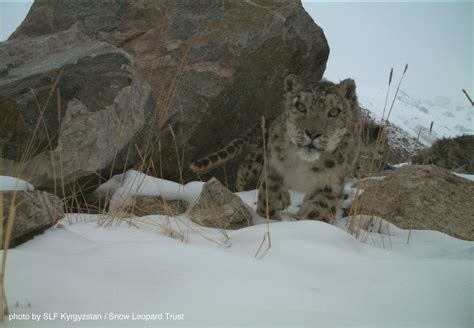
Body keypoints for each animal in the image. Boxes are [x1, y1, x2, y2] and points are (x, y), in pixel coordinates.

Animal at [191, 74, 362, 223]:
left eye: (334, 112)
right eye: (301, 106)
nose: (313, 133)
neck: (304, 165)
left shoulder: (328, 184)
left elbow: (316, 213)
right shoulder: (274, 169)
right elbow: (269, 197)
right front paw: (270, 218)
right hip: (259, 158)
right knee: (244, 166)